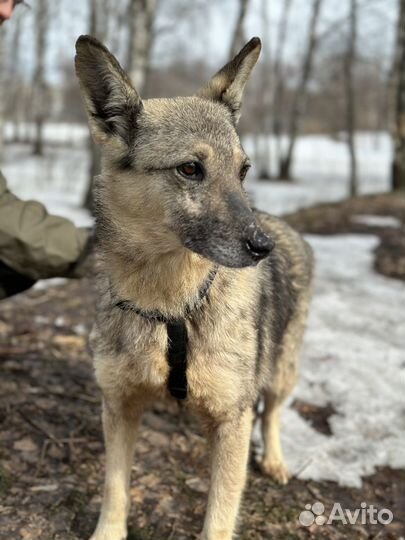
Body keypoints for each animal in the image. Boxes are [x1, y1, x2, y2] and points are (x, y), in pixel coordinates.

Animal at [75, 34, 312, 540]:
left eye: (243, 171)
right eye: (189, 169)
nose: (261, 247)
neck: (172, 308)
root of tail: (281, 225)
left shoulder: (232, 421)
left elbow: (220, 515)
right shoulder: (118, 405)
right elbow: (115, 489)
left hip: (281, 372)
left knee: (273, 414)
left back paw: (275, 460)